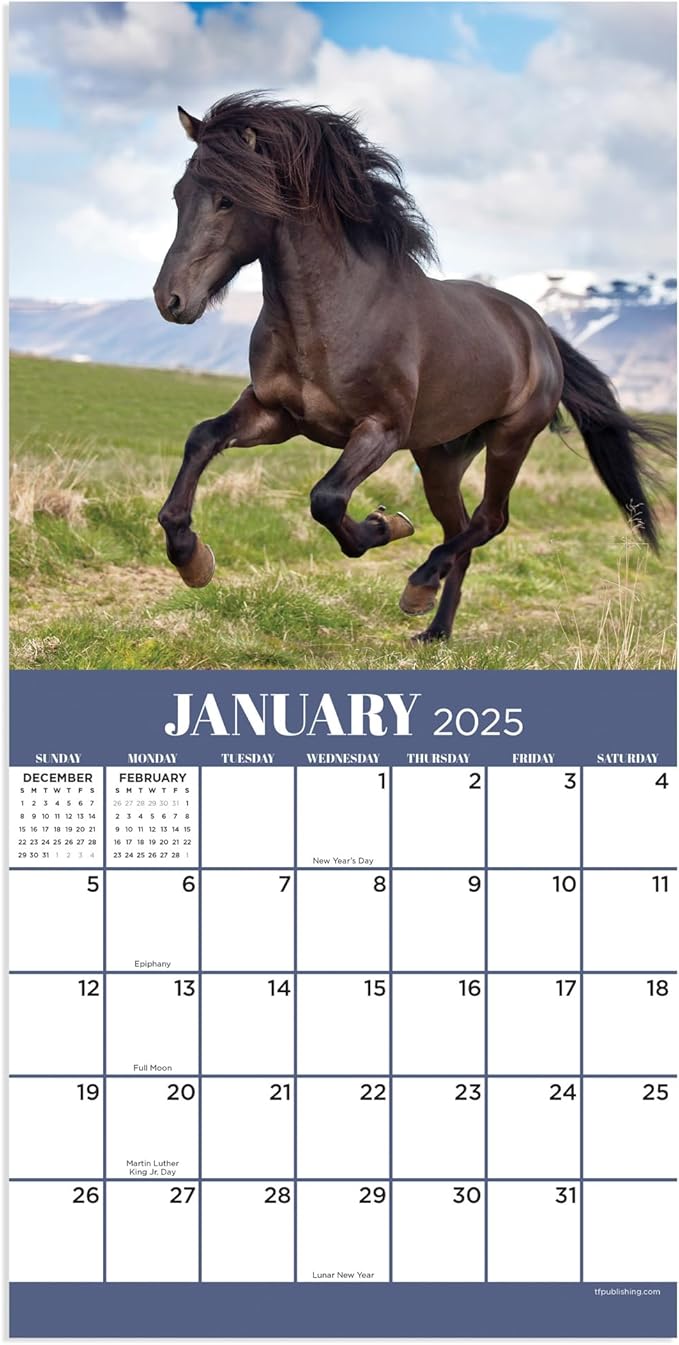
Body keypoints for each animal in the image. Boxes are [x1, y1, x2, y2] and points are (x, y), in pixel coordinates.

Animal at [154, 92, 670, 643]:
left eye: (227, 199)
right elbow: (203, 438)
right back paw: (435, 628)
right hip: (439, 456)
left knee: (489, 520)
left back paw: (420, 584)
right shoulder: (276, 415)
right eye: (179, 194)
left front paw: (385, 526)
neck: (334, 313)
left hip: (510, 439)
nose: (170, 299)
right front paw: (190, 557)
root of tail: (539, 332)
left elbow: (327, 498)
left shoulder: (380, 430)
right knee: (460, 526)